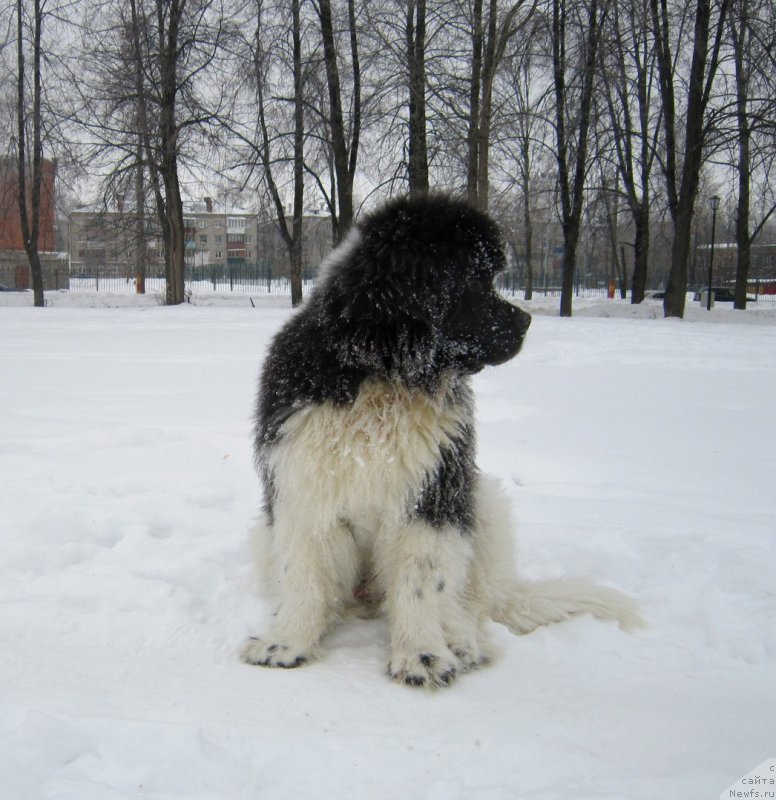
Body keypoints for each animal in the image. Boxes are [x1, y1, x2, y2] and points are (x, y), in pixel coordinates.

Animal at [244, 194, 644, 688]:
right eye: (475, 281)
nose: (527, 320)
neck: (386, 377)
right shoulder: (304, 486)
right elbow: (305, 576)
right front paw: (286, 644)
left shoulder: (433, 492)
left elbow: (420, 581)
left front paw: (422, 655)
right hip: (265, 533)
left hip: (481, 501)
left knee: (464, 602)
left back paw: (461, 642)